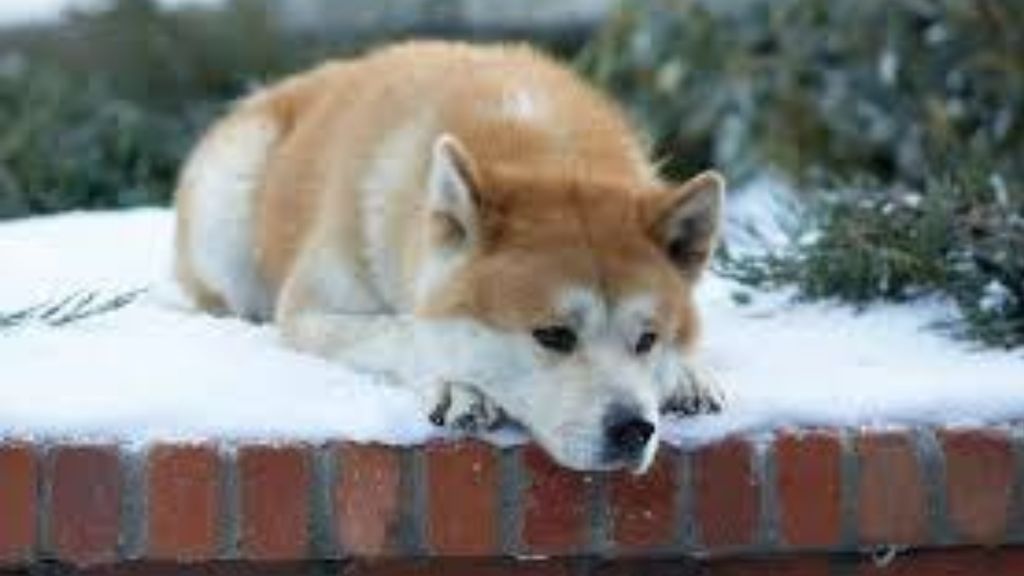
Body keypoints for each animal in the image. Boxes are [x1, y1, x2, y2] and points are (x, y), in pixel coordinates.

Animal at [172, 40, 724, 471]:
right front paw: (457, 387)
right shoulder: (310, 311)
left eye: (648, 339)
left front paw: (685, 373)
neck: (541, 149)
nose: (633, 429)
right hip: (229, 200)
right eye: (553, 335)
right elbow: (401, 330)